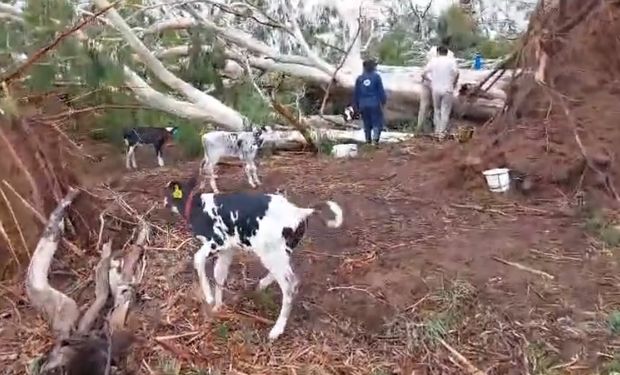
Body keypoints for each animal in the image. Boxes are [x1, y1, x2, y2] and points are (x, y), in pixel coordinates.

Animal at [163, 178, 344, 340]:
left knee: (290, 285)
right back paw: (260, 286)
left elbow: (197, 259)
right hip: (281, 252)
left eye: (167, 191)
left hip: (270, 252)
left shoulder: (217, 241)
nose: (163, 202)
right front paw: (217, 307)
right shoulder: (227, 249)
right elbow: (219, 274)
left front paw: (209, 297)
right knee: (286, 275)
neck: (196, 206)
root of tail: (299, 211)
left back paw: (277, 330)